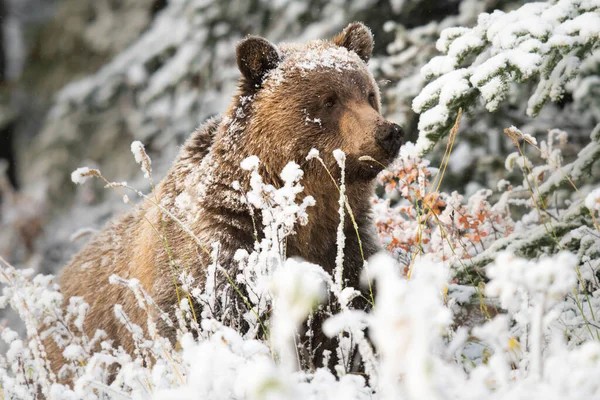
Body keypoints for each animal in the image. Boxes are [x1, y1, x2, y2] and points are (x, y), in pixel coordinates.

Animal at [47, 21, 404, 378]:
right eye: (328, 100)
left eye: (369, 94)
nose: (389, 132)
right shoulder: (219, 257)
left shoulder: (344, 246)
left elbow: (359, 313)